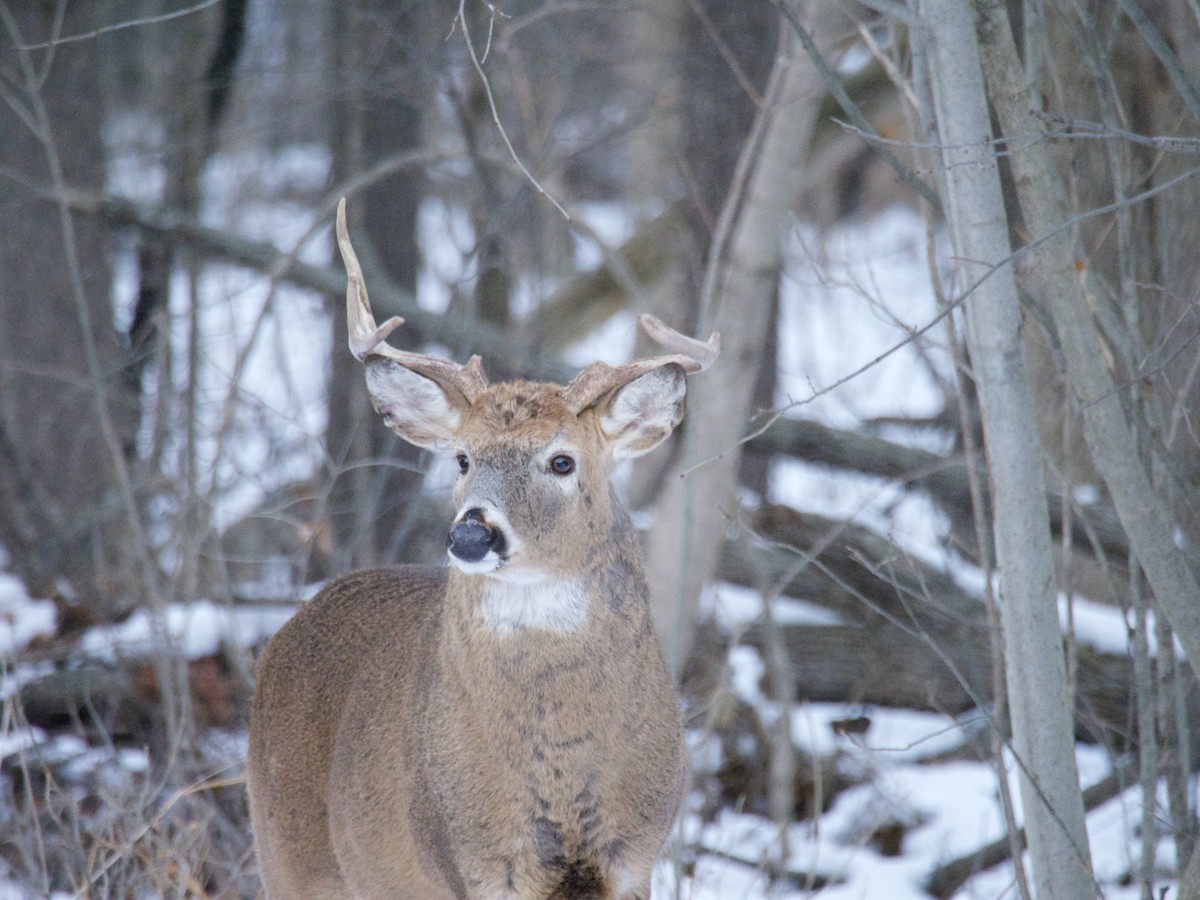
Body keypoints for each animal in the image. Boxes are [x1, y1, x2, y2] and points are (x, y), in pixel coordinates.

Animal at [246, 198, 719, 900]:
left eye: (562, 460)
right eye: (463, 458)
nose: (471, 533)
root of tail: (286, 632)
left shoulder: (638, 857)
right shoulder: (472, 864)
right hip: (288, 854)